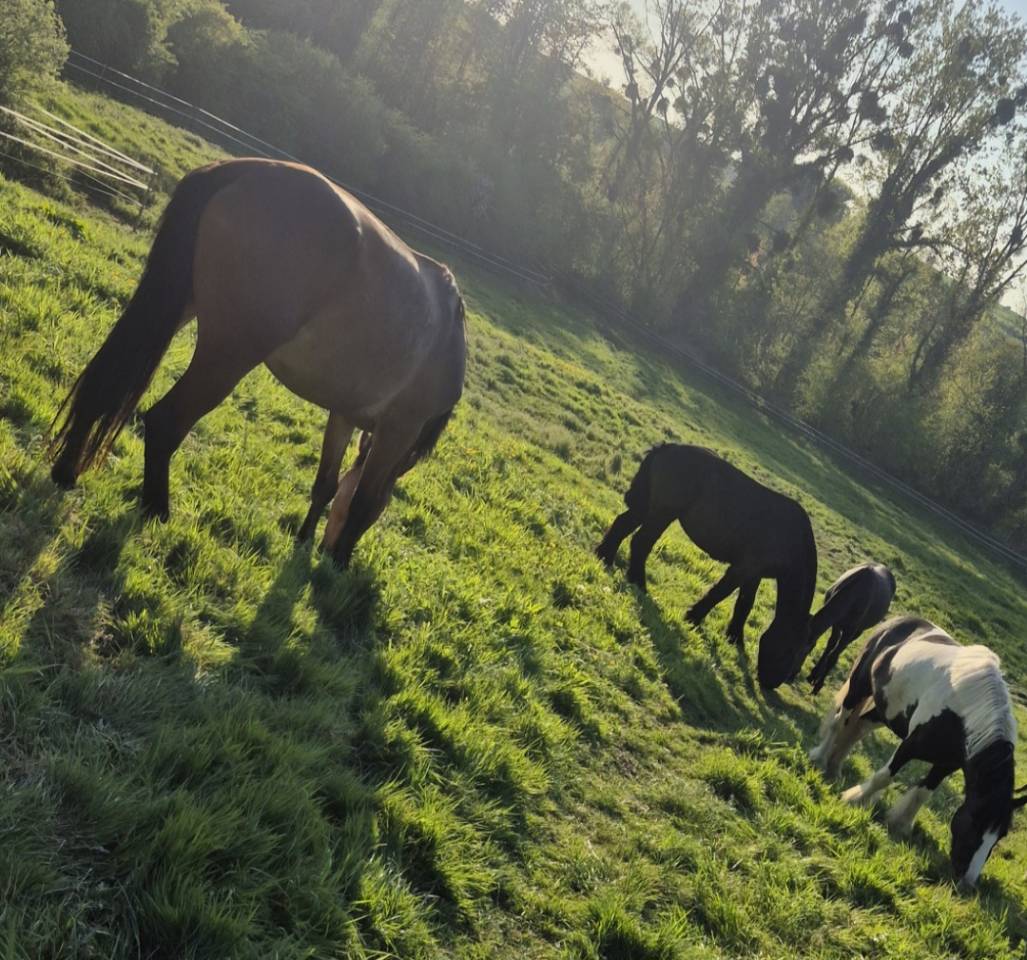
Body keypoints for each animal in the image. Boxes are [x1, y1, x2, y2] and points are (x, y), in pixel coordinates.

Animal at [48, 158, 466, 568]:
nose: (330, 553)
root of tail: (242, 169)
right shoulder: (398, 430)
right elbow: (365, 499)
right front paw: (336, 567)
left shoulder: (344, 413)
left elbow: (327, 484)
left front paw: (303, 541)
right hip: (229, 354)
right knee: (165, 421)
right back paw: (156, 509)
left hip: (177, 310)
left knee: (107, 384)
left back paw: (67, 470)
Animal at [595, 443, 817, 689]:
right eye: (793, 650)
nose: (773, 683)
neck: (792, 540)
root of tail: (667, 447)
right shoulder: (744, 568)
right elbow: (719, 593)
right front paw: (693, 617)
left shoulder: (754, 574)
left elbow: (744, 605)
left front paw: (735, 639)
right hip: (663, 512)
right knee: (641, 542)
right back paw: (638, 582)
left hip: (649, 507)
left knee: (622, 525)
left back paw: (605, 556)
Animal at [802, 562, 896, 693]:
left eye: (804, 650)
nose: (789, 677)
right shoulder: (836, 623)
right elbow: (830, 646)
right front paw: (813, 674)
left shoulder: (850, 631)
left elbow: (834, 655)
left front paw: (818, 685)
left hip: (858, 630)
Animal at [809, 615, 1026, 890]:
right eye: (976, 822)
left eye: (1001, 834)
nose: (967, 882)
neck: (964, 713)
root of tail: (899, 620)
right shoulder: (910, 745)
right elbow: (884, 777)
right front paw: (855, 799)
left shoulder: (945, 765)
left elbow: (923, 793)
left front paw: (900, 823)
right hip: (859, 686)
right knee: (840, 723)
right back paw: (821, 759)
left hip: (884, 711)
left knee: (856, 729)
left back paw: (835, 768)